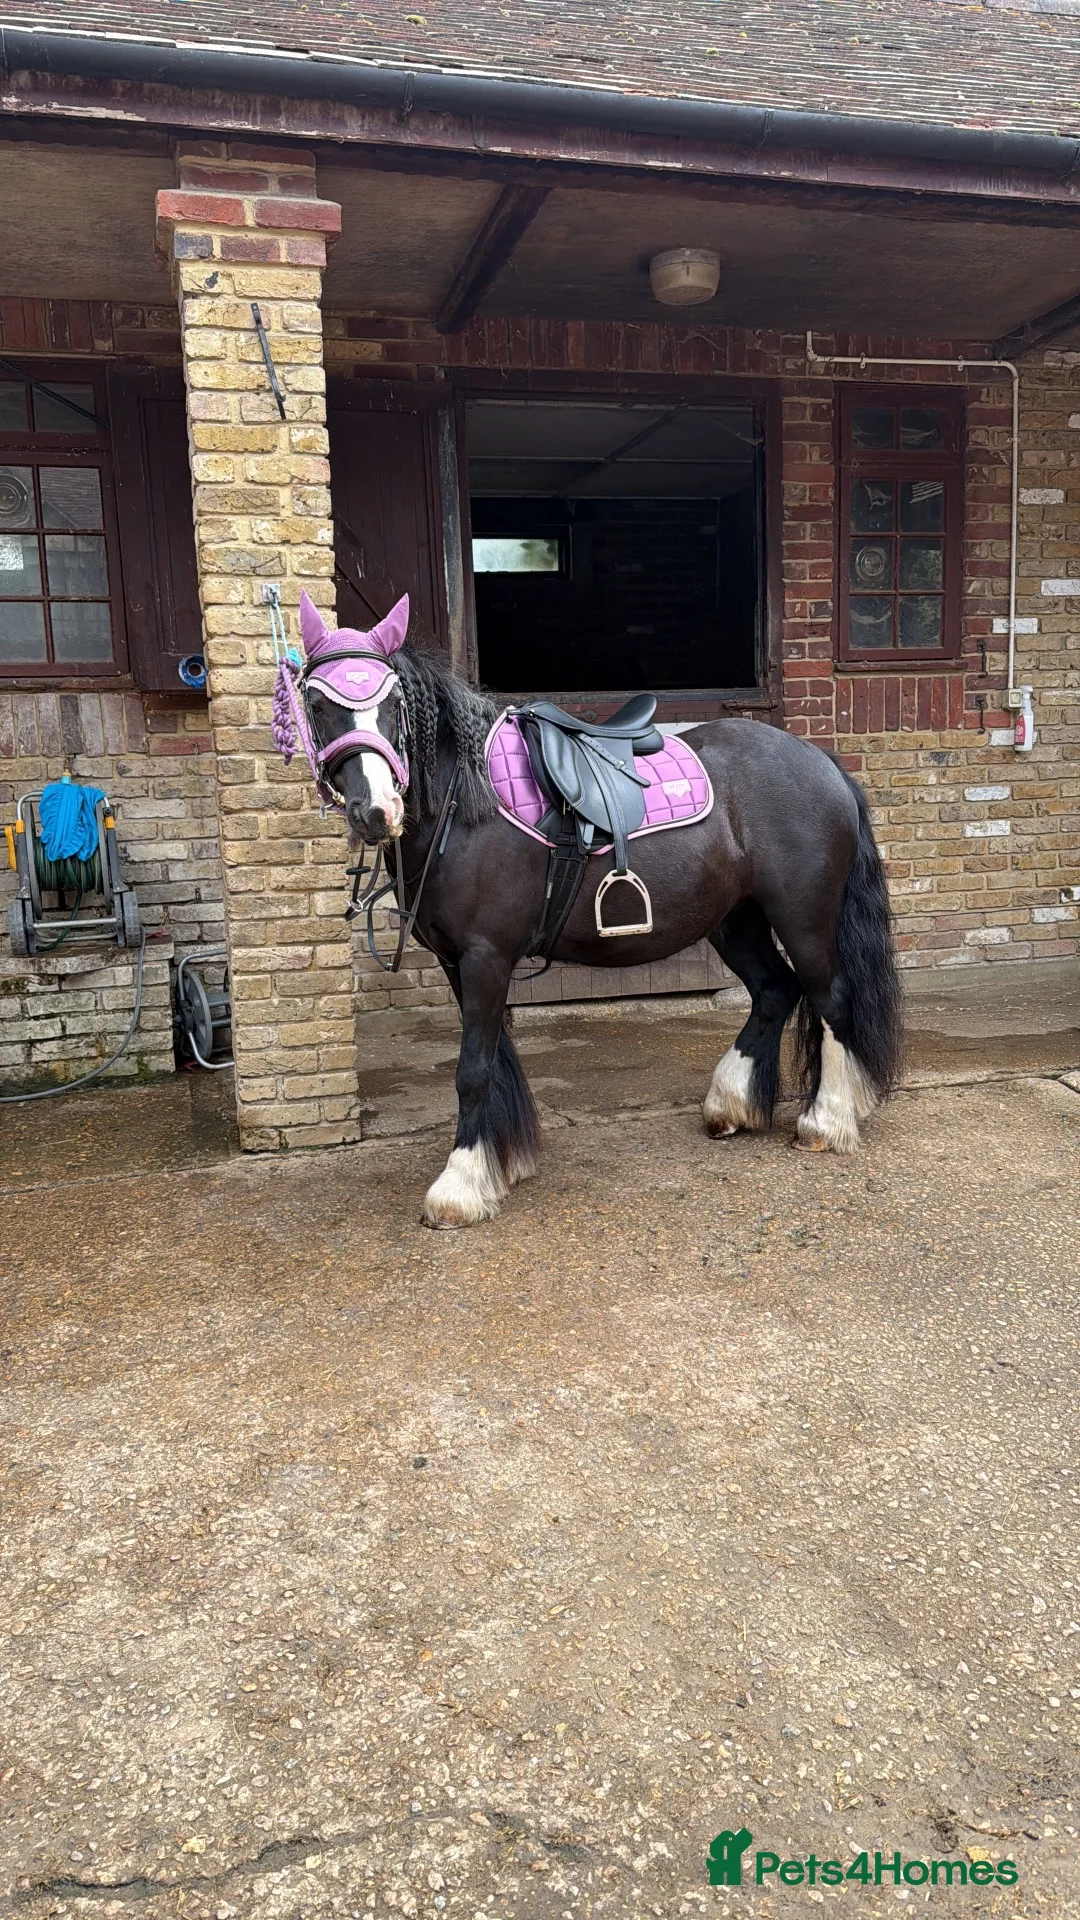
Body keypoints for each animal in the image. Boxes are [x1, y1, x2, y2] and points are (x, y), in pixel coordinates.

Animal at [278, 592, 902, 1229]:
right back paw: (732, 1104)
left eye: (393, 703)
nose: (375, 811)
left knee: (830, 1000)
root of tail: (821, 762)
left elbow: (473, 1068)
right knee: (776, 991)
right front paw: (504, 1163)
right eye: (317, 703)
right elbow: (496, 1057)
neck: (469, 802)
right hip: (736, 920)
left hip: (803, 918)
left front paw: (459, 1186)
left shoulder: (485, 956)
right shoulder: (461, 962)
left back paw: (825, 1121)